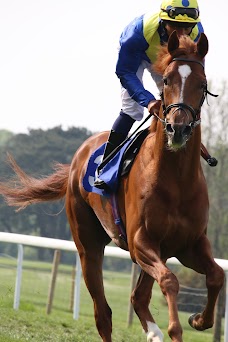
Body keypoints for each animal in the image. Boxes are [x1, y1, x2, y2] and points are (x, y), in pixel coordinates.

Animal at [0, 32, 224, 342]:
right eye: (166, 80)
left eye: (202, 84)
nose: (177, 129)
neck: (176, 180)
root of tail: (81, 152)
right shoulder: (140, 243)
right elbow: (169, 280)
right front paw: (175, 328)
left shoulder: (189, 244)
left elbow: (216, 276)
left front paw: (199, 320)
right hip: (88, 245)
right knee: (102, 312)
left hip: (161, 249)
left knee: (138, 298)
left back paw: (154, 332)